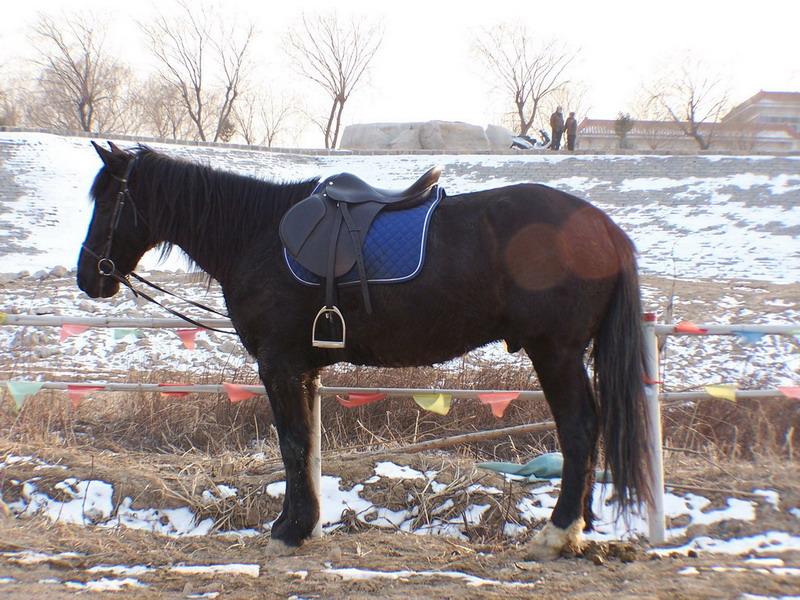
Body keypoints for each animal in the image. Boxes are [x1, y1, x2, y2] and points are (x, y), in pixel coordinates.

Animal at [76, 143, 648, 560]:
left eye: (106, 201)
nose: (88, 277)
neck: (254, 233)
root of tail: (604, 228)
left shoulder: (278, 364)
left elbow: (291, 445)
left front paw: (289, 531)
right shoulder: (303, 369)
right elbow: (305, 445)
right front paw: (303, 525)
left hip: (555, 352)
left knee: (579, 428)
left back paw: (557, 533)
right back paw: (578, 528)